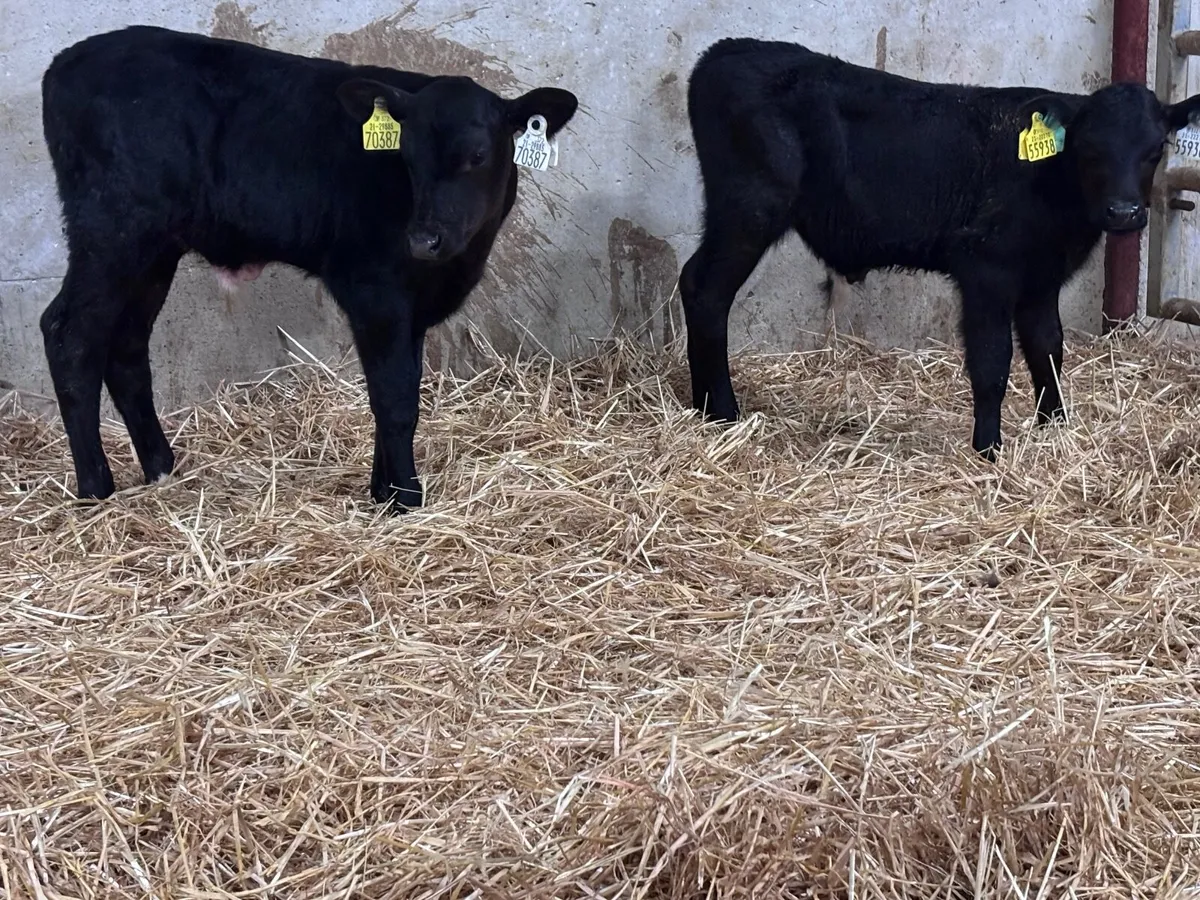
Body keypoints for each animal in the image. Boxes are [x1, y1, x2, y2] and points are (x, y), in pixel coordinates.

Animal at [39, 25, 577, 510]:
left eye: (478, 155)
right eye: (407, 156)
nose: (424, 239)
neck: (456, 263)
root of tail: (65, 62)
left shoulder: (413, 304)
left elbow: (399, 387)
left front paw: (383, 490)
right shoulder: (372, 288)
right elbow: (394, 397)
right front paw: (404, 499)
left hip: (153, 250)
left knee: (127, 347)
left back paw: (162, 469)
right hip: (111, 232)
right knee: (70, 335)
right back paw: (94, 489)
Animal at [679, 37, 1200, 460]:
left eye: (1156, 149)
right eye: (1089, 149)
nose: (1124, 213)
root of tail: (724, 51)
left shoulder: (1041, 276)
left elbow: (1048, 349)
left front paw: (1055, 429)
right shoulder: (985, 267)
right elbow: (992, 360)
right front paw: (988, 451)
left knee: (691, 282)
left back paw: (701, 404)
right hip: (750, 209)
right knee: (708, 293)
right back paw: (722, 411)